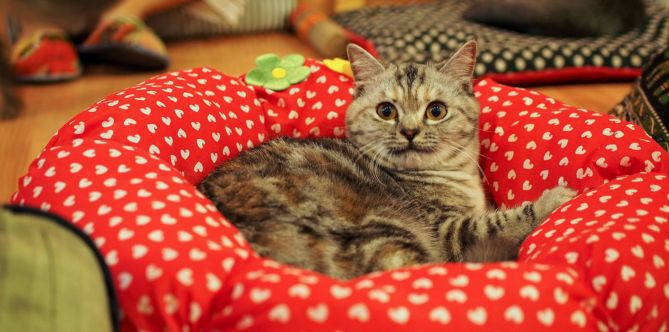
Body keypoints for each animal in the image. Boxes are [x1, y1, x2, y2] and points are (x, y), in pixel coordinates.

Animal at [197, 40, 576, 280]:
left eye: (436, 111)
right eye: (386, 111)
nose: (409, 131)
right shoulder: (447, 232)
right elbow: (498, 222)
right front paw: (556, 198)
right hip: (382, 233)